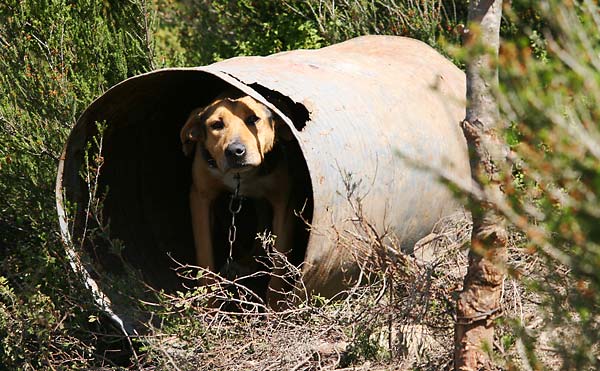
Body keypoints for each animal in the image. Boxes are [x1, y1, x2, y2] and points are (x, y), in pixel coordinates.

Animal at [180, 90, 298, 308]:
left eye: (253, 119)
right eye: (217, 125)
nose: (235, 152)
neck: (240, 176)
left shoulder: (284, 203)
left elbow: (279, 266)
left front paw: (275, 307)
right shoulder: (200, 197)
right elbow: (205, 255)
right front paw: (210, 305)